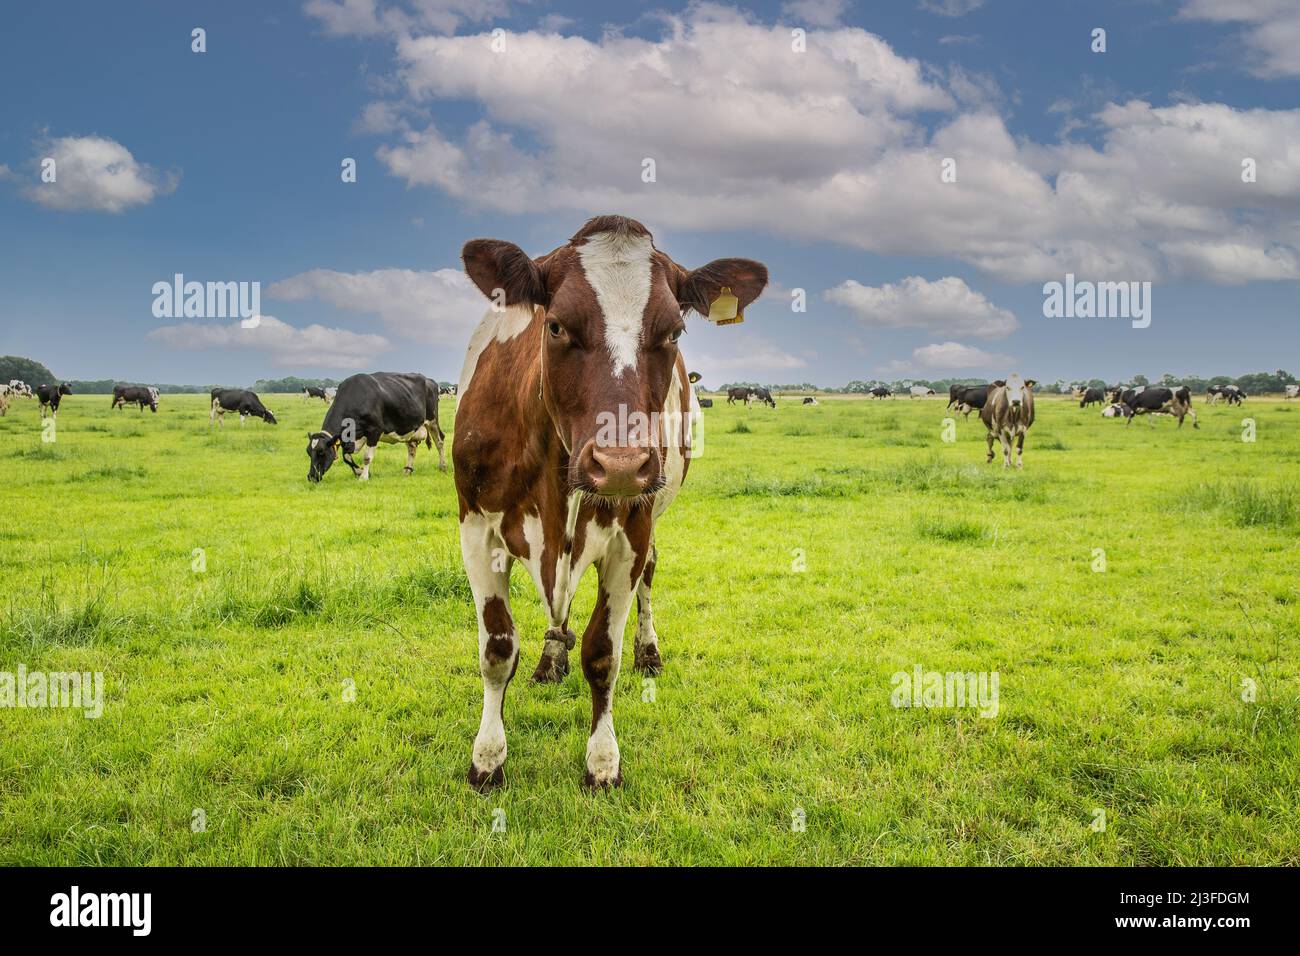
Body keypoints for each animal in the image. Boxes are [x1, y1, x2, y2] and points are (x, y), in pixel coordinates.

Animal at [305, 371, 444, 481]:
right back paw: (407, 471)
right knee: (412, 448)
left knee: (440, 441)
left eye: (321, 452)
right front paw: (360, 471)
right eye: (308, 452)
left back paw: (443, 466)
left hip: (432, 420)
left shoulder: (374, 431)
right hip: (408, 427)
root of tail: (429, 380)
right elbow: (346, 457)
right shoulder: (350, 437)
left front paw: (363, 477)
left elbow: (367, 457)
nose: (311, 477)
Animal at [452, 213, 764, 790]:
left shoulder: (630, 535)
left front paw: (602, 762)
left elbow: (602, 653)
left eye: (674, 331)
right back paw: (552, 657)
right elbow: (497, 648)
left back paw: (648, 650)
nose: (620, 463)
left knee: (648, 580)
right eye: (555, 326)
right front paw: (487, 758)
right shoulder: (476, 529)